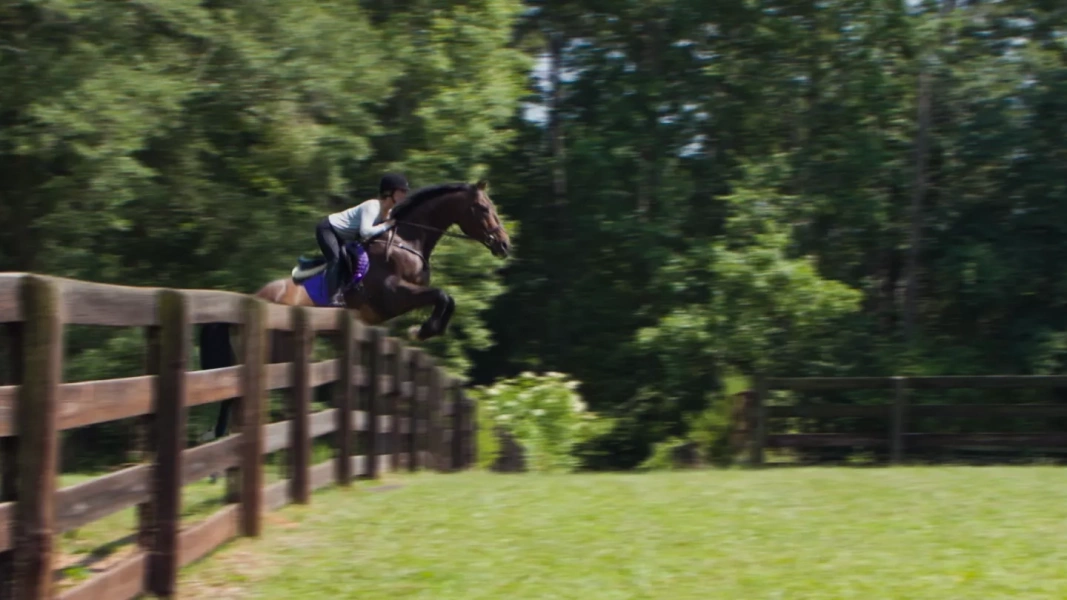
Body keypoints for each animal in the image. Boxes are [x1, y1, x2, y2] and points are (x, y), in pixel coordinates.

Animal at [196, 180, 510, 454]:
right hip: (273, 351)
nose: (504, 244)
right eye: (483, 208)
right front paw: (422, 330)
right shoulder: (393, 295)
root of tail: (253, 298)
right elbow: (442, 295)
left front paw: (426, 330)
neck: (406, 240)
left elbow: (447, 299)